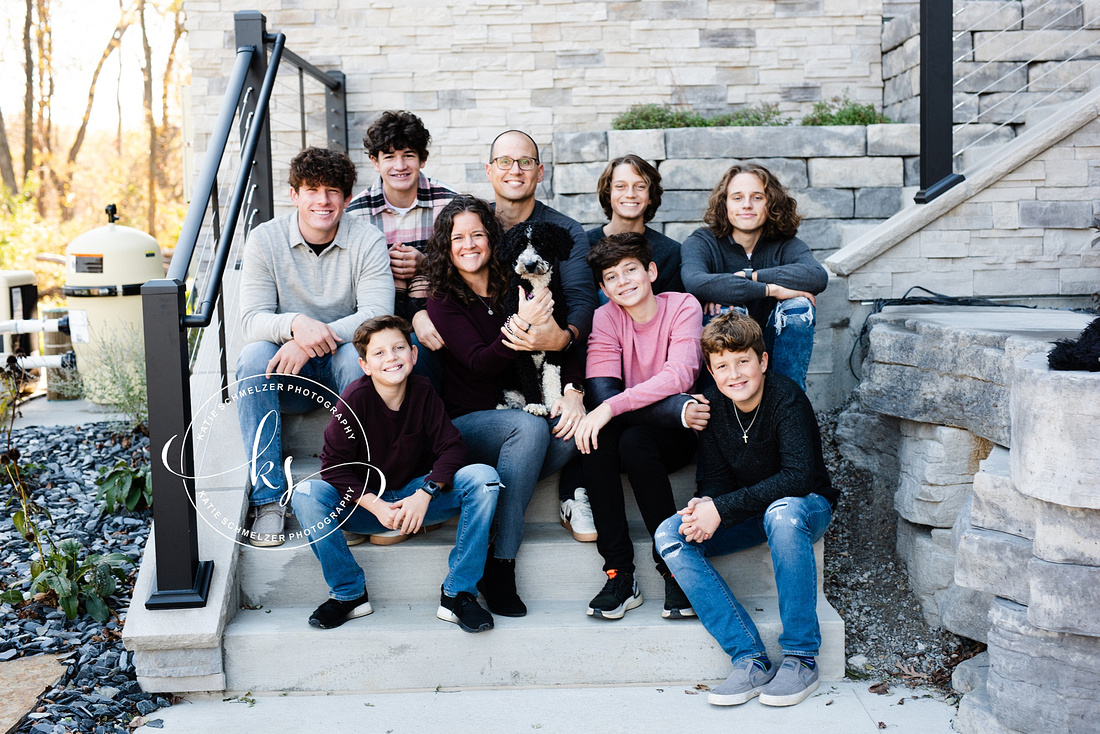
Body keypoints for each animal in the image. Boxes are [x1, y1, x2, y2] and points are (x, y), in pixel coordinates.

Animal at [495, 221, 572, 415]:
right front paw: (535, 405)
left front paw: (554, 401)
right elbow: (528, 375)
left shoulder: (556, 340)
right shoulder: (518, 341)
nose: (530, 264)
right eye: (519, 245)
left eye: (542, 243)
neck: (535, 288)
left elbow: (552, 374)